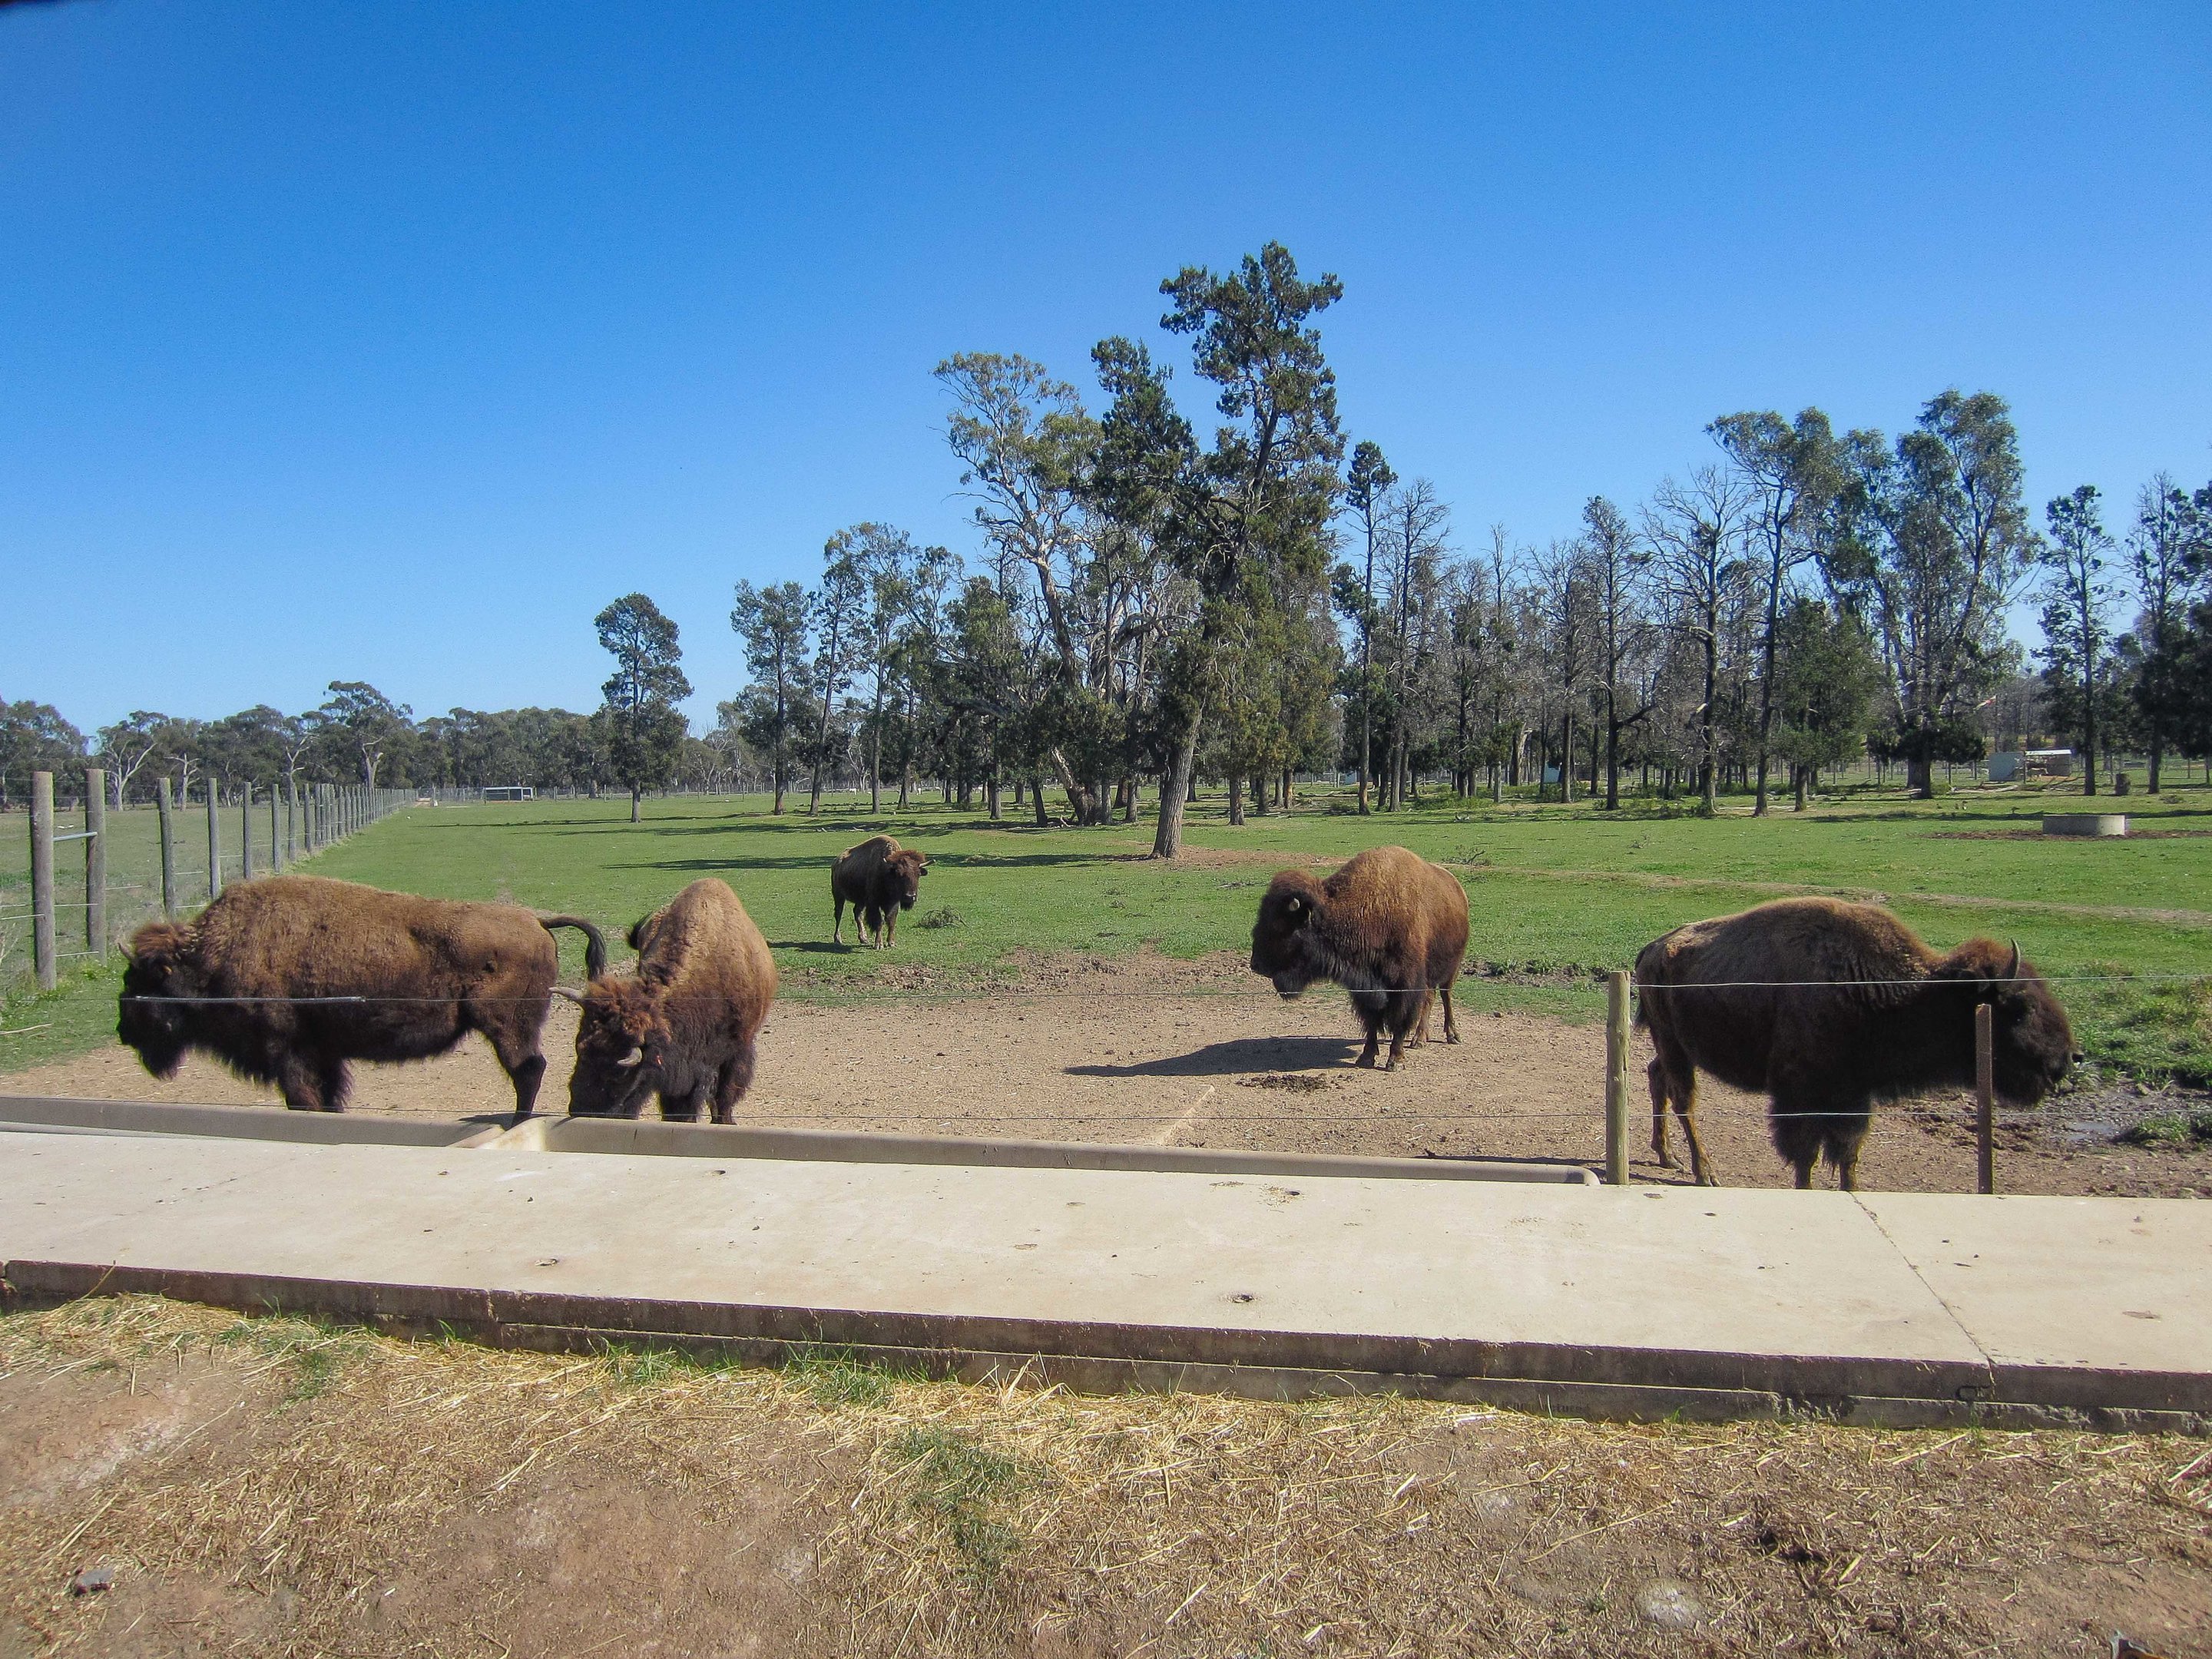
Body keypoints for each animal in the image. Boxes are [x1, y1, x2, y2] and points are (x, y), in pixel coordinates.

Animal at [118, 875, 605, 1113]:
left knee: (529, 1070)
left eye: (141, 983)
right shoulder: (321, 1051)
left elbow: (304, 1098)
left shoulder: (286, 1048)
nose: (123, 1031)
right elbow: (327, 1095)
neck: (213, 954)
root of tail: (536, 920)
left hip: (507, 1027)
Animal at [566, 877, 777, 1123]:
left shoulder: (736, 1051)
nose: (581, 1111)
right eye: (580, 1051)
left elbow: (724, 1095)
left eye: (618, 1073)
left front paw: (724, 1121)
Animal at [831, 834, 928, 948]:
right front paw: (879, 944)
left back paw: (864, 939)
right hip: (838, 896)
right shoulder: (874, 903)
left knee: (857, 913)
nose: (910, 897)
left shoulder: (893, 903)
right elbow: (879, 921)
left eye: (918, 874)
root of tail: (836, 862)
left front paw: (891, 943)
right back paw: (838, 939)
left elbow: (891, 921)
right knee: (839, 914)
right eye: (898, 874)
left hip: (860, 901)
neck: (887, 871)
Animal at [1249, 845, 1469, 1070]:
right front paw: (1366, 1057)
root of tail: (1458, 889)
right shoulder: (1365, 988)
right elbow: (1371, 1020)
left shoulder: (1405, 983)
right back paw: (1420, 1039)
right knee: (1430, 998)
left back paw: (1452, 1035)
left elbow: (1400, 1019)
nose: (1256, 964)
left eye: (1279, 926)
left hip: (1451, 968)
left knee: (1445, 996)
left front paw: (1395, 1060)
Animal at [1636, 896, 2079, 1189]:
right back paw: (1704, 1172)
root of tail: (1652, 949)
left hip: (1676, 1047)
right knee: (1684, 1100)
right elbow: (1807, 1156)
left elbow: (1848, 1155)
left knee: (1657, 1077)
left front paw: (1852, 1191)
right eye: (2020, 1007)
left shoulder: (1853, 1097)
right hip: (1675, 1046)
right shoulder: (1802, 1096)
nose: (2069, 1058)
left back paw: (1668, 1156)